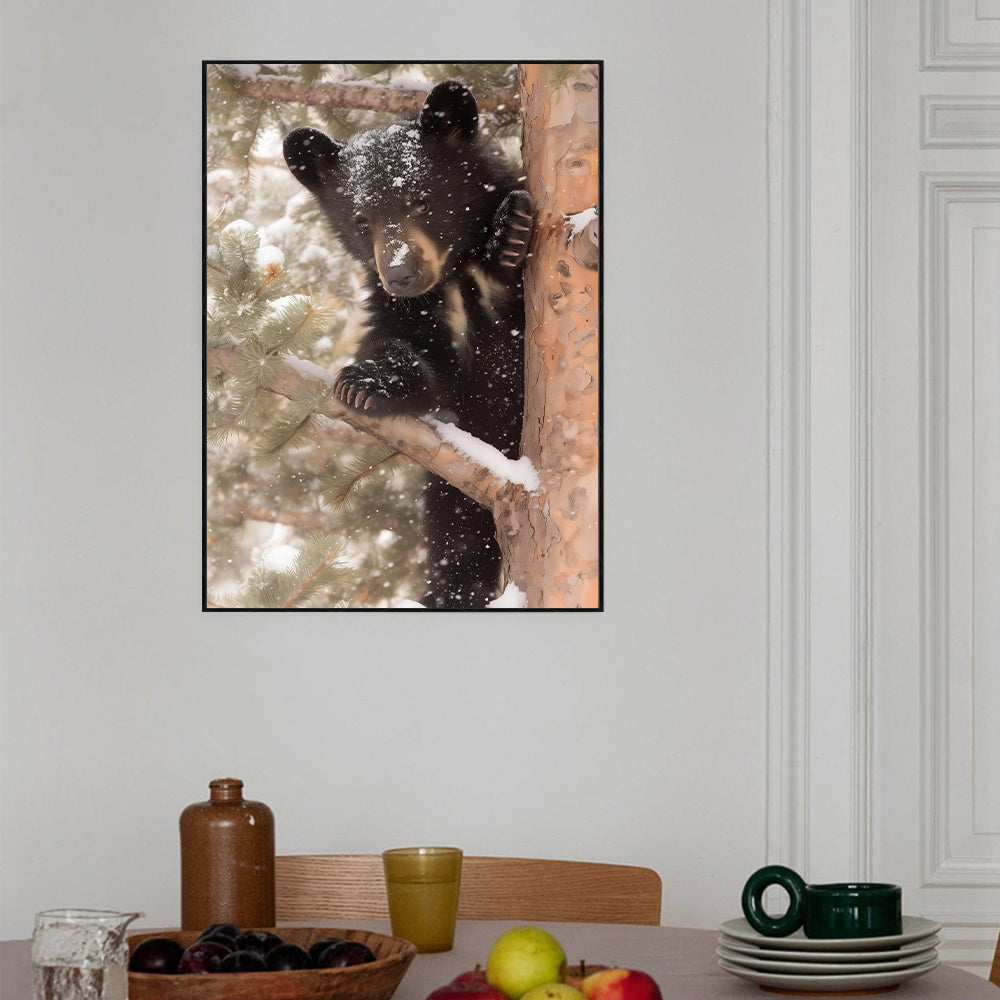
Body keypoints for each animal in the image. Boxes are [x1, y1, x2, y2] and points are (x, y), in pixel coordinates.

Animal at [283, 81, 534, 609]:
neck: (454, 280)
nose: (400, 274)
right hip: (453, 487)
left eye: (421, 202)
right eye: (361, 220)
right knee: (455, 539)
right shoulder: (409, 314)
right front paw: (365, 384)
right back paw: (451, 593)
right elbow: (412, 356)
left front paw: (510, 231)